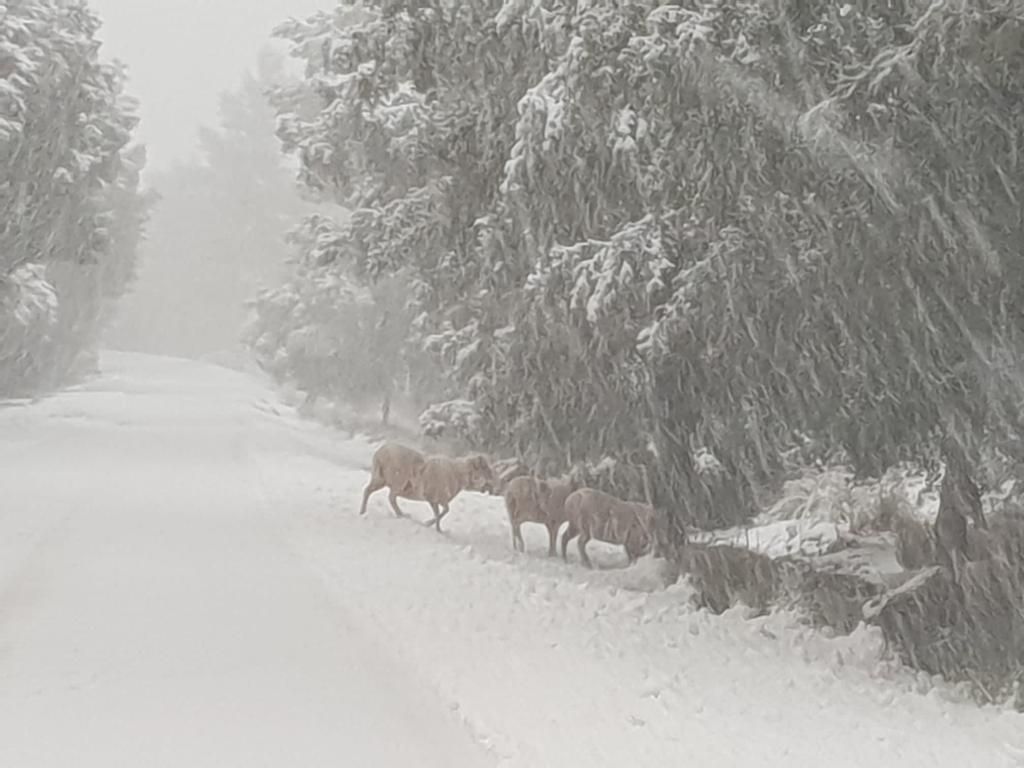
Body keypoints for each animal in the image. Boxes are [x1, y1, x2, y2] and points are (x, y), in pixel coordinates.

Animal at [358, 442, 493, 532]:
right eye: (484, 467)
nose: (492, 477)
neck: (458, 473)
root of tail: (380, 452)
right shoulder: (435, 497)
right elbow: (443, 512)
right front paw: (429, 525)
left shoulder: (435, 500)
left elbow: (439, 514)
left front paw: (437, 529)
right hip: (397, 482)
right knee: (391, 498)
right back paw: (402, 515)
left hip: (380, 480)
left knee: (367, 491)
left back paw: (362, 512)